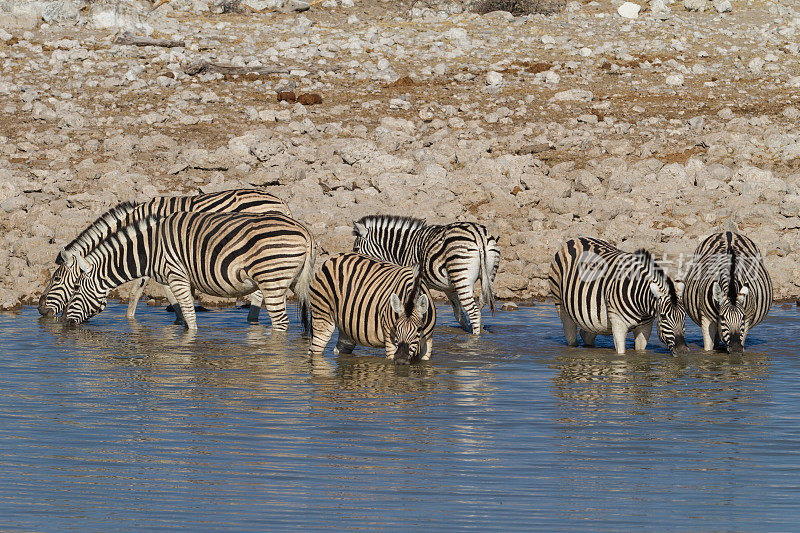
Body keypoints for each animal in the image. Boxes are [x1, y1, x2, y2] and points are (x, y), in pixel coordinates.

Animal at [37, 187, 290, 320]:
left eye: (56, 279)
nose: (40, 309)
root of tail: (280, 201)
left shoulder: (149, 253)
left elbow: (136, 292)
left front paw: (130, 320)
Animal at [64, 211, 314, 328]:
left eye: (75, 287)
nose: (66, 323)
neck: (149, 250)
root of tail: (304, 230)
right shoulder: (182, 280)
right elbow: (184, 314)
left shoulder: (176, 276)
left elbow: (191, 319)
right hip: (294, 280)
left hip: (272, 280)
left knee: (280, 323)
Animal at [304, 251, 438, 364]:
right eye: (396, 328)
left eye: (419, 329)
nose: (401, 360)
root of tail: (333, 257)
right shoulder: (390, 341)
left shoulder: (428, 344)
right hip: (322, 315)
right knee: (314, 350)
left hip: (346, 327)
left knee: (340, 349)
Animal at [352, 213, 496, 332]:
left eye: (356, 249)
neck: (404, 248)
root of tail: (477, 235)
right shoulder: (449, 288)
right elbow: (459, 315)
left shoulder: (412, 279)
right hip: (487, 276)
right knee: (481, 304)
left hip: (462, 276)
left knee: (474, 312)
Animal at [548, 237, 692, 354]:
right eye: (663, 317)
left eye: (684, 316)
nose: (682, 350)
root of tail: (574, 240)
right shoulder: (618, 324)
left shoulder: (646, 326)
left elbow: (641, 351)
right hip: (561, 305)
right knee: (570, 336)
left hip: (591, 316)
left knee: (586, 334)